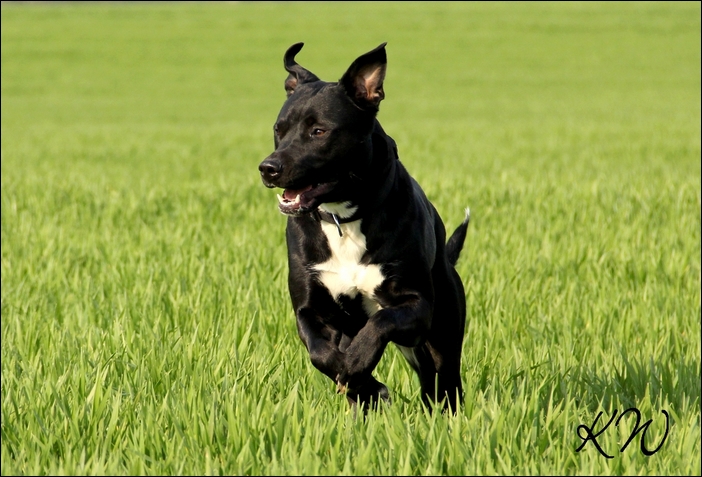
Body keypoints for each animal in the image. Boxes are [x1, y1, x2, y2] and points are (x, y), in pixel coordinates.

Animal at [256, 42, 470, 410]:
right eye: (278, 130)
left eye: (318, 131)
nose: (268, 168)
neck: (343, 218)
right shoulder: (311, 310)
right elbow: (320, 353)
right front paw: (364, 385)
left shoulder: (417, 308)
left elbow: (381, 321)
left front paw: (357, 365)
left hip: (442, 331)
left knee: (444, 382)